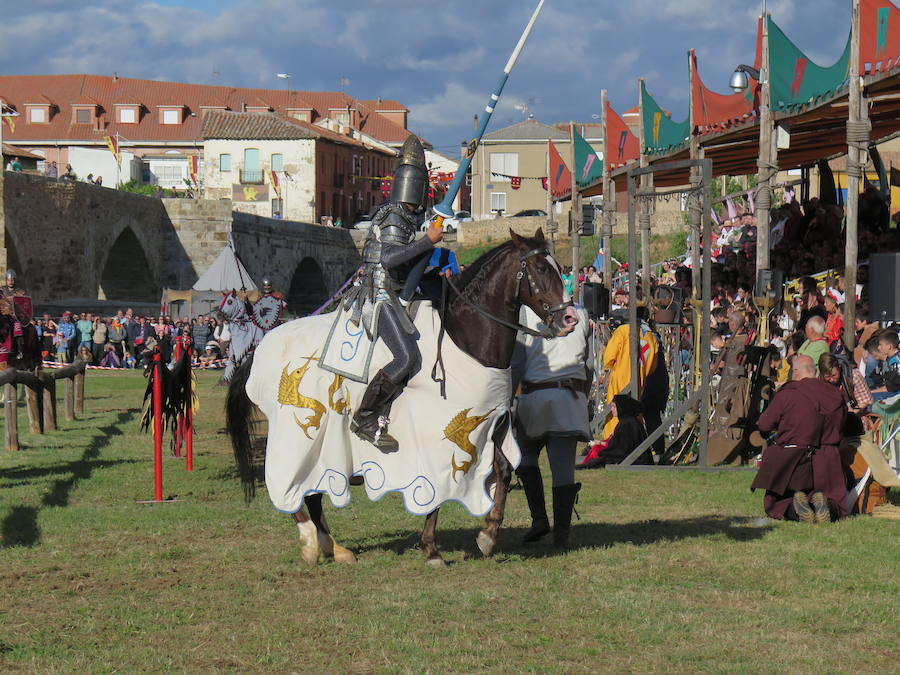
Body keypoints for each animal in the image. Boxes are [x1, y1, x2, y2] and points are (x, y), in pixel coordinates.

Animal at [225, 230, 576, 568]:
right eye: (542, 268)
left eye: (559, 268)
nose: (570, 319)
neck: (465, 340)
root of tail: (262, 348)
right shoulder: (440, 441)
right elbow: (437, 492)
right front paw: (432, 549)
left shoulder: (490, 428)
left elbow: (503, 470)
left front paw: (487, 536)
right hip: (299, 441)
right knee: (296, 489)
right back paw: (312, 544)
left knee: (312, 493)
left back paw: (334, 549)